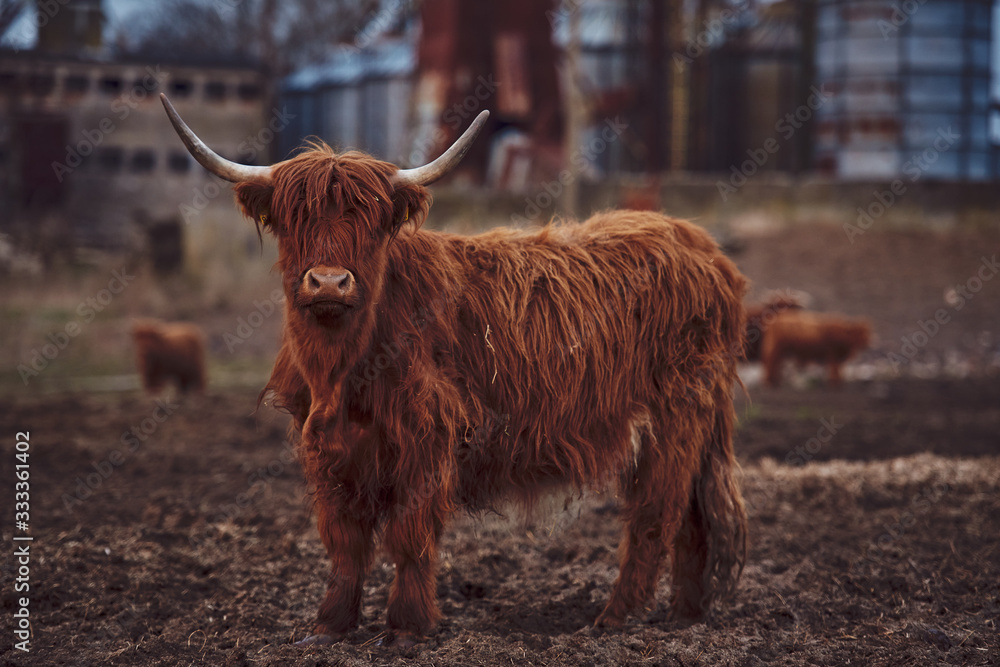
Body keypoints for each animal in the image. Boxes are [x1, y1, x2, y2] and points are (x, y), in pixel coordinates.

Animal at [161, 93, 748, 646]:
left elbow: (409, 535)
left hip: (674, 417)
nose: (329, 282)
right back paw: (684, 615)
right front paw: (329, 626)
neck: (341, 372)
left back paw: (614, 619)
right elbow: (345, 542)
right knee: (692, 518)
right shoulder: (327, 448)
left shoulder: (427, 437)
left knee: (655, 516)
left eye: (370, 221)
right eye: (294, 218)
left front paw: (406, 628)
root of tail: (699, 244)